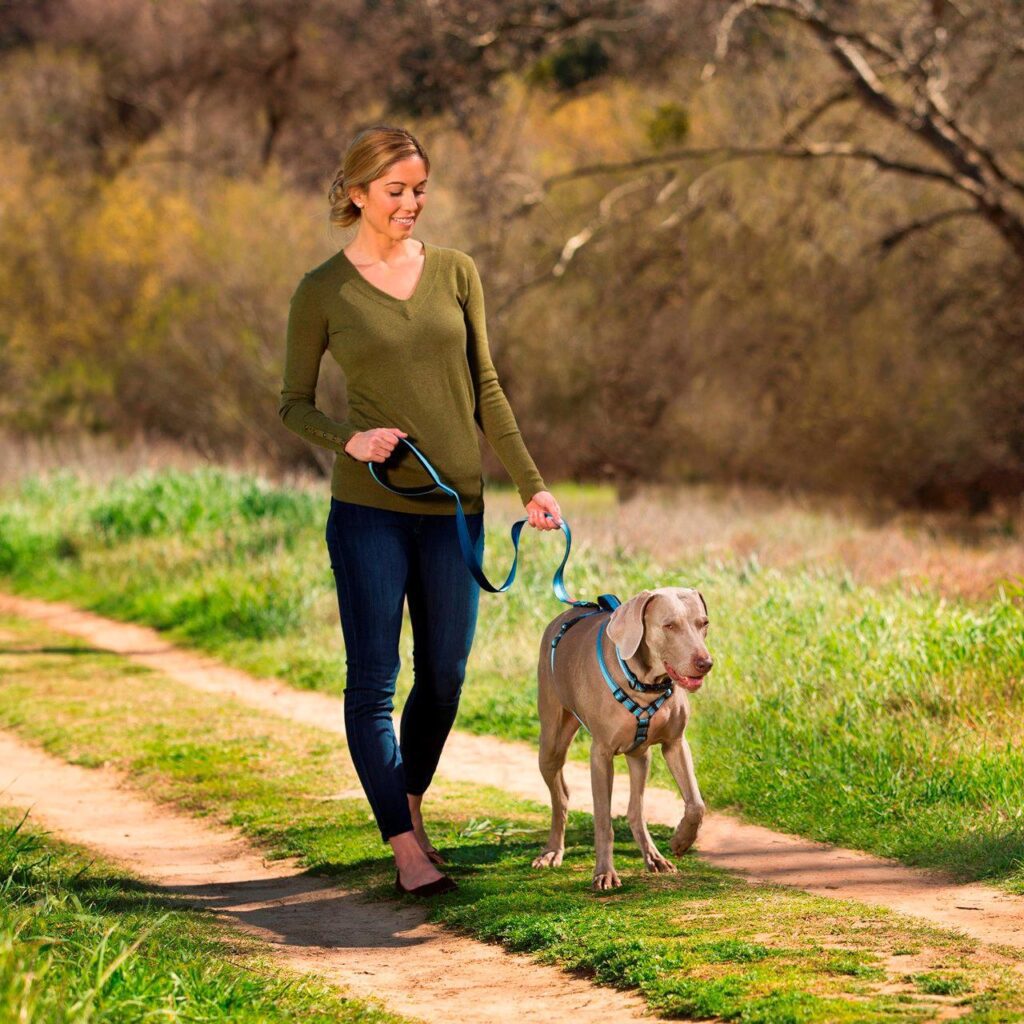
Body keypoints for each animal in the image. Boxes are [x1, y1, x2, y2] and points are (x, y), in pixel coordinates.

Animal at [532, 589, 716, 892]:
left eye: (703, 623)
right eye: (670, 625)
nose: (705, 664)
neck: (644, 684)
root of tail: (568, 612)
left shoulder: (675, 743)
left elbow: (696, 804)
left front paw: (681, 840)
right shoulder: (601, 754)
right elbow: (603, 821)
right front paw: (604, 873)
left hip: (640, 755)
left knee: (635, 809)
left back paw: (654, 857)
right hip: (551, 743)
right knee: (560, 798)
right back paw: (551, 852)